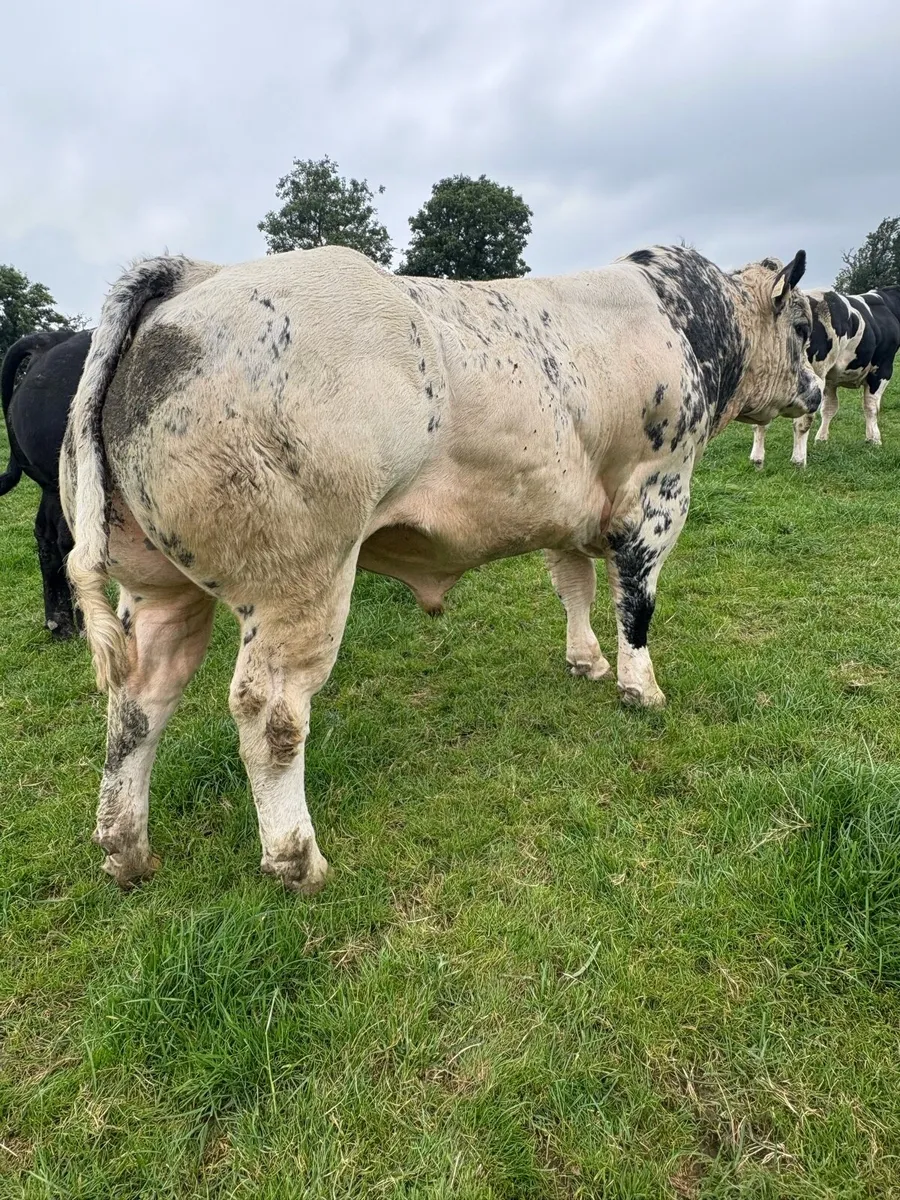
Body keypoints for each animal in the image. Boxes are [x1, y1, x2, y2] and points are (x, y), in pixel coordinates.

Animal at [60, 244, 821, 894]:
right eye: (802, 325)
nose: (814, 391)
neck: (683, 318)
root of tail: (193, 275)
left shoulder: (569, 503)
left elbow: (572, 582)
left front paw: (586, 661)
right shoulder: (657, 490)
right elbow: (635, 600)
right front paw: (642, 688)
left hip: (156, 587)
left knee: (138, 703)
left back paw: (126, 850)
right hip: (299, 582)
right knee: (270, 714)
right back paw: (297, 859)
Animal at [749, 286, 900, 468]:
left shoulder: (830, 379)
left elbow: (829, 408)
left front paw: (821, 439)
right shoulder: (883, 369)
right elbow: (870, 407)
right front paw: (874, 439)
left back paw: (759, 458)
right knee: (801, 421)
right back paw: (796, 459)